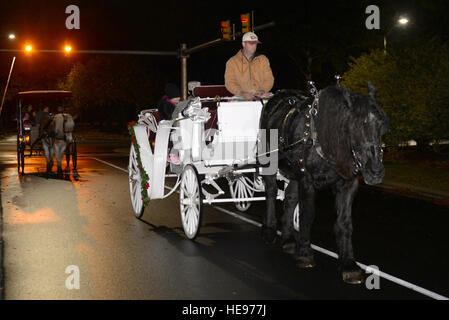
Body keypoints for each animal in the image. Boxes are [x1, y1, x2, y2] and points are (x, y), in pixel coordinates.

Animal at [260, 82, 388, 282]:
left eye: (382, 124)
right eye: (356, 124)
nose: (375, 170)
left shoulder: (347, 184)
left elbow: (344, 222)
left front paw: (348, 264)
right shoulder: (307, 180)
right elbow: (307, 215)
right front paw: (305, 253)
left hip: (294, 172)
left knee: (289, 198)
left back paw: (288, 239)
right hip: (269, 162)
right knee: (271, 192)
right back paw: (269, 230)